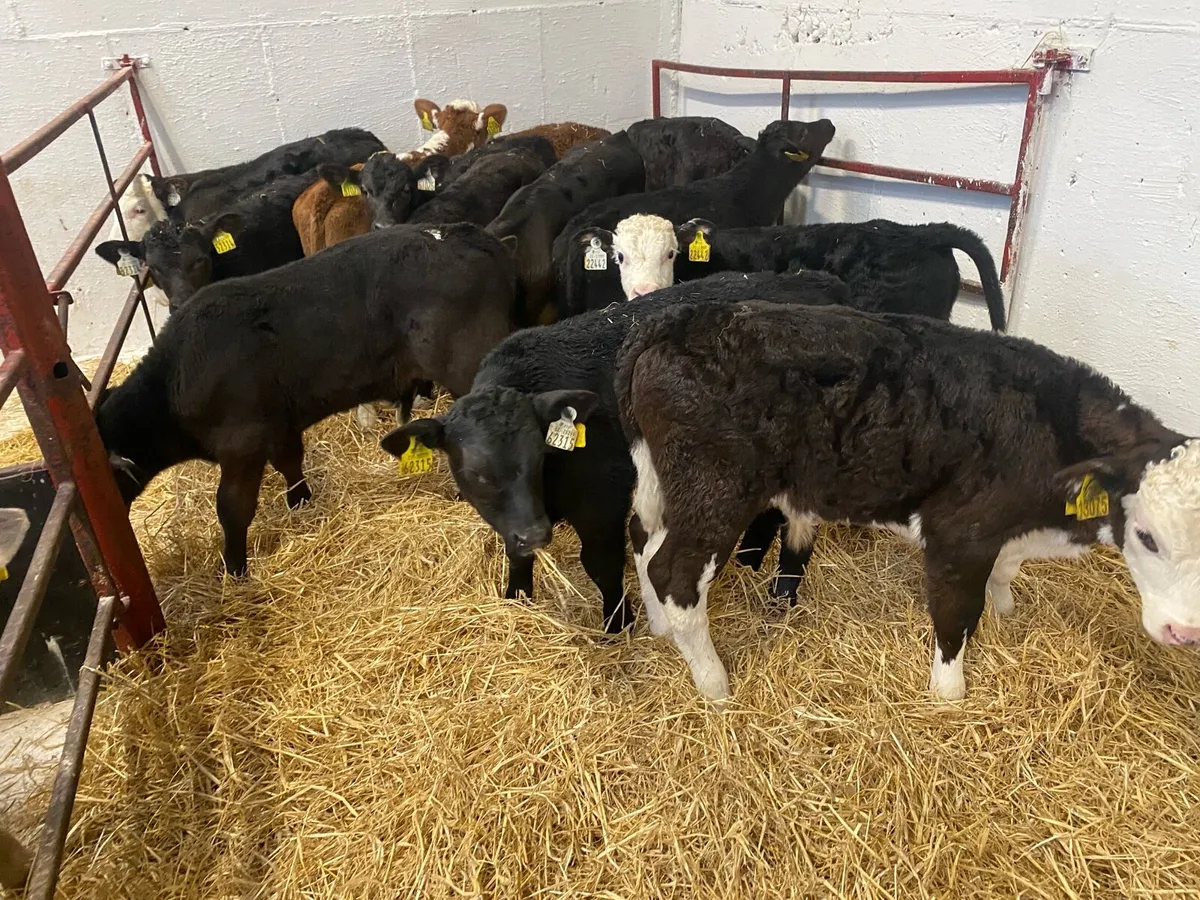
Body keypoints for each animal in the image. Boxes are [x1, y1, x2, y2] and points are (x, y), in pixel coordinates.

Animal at [96, 223, 518, 577]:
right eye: (152, 269)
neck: (175, 380)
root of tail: (463, 234)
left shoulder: (242, 444)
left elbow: (232, 508)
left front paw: (233, 569)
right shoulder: (279, 425)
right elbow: (290, 463)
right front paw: (300, 501)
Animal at [378, 271, 848, 634]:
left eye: (537, 457)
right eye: (477, 473)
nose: (537, 533)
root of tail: (817, 282)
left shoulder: (603, 497)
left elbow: (601, 562)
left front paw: (618, 624)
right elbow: (515, 553)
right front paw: (516, 599)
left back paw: (781, 596)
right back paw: (750, 562)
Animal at [615, 300, 1197, 705]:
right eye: (1146, 537)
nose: (1185, 632)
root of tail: (679, 318)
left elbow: (1004, 576)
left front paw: (1008, 611)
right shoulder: (959, 532)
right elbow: (956, 615)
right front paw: (949, 695)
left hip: (667, 483)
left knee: (643, 539)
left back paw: (660, 628)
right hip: (716, 490)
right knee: (674, 573)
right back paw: (714, 684)